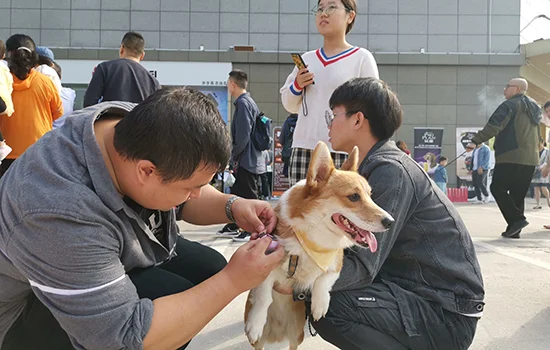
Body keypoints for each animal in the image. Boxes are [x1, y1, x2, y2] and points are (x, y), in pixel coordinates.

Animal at [244, 141, 394, 348]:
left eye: (370, 195)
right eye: (354, 197)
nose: (390, 222)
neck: (314, 236)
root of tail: (278, 333)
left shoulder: (336, 262)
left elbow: (324, 279)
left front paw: (319, 305)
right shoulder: (266, 261)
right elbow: (263, 296)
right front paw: (255, 325)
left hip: (297, 334)